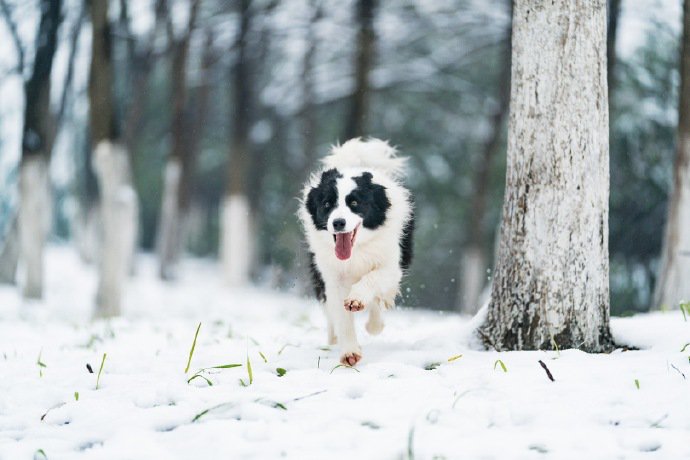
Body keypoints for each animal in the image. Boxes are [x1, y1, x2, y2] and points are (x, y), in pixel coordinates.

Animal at [296, 137, 414, 366]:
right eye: (327, 204)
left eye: (354, 203)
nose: (338, 222)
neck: (356, 250)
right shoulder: (332, 275)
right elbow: (341, 315)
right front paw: (349, 352)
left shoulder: (390, 263)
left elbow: (374, 278)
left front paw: (357, 299)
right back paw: (334, 338)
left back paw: (375, 321)